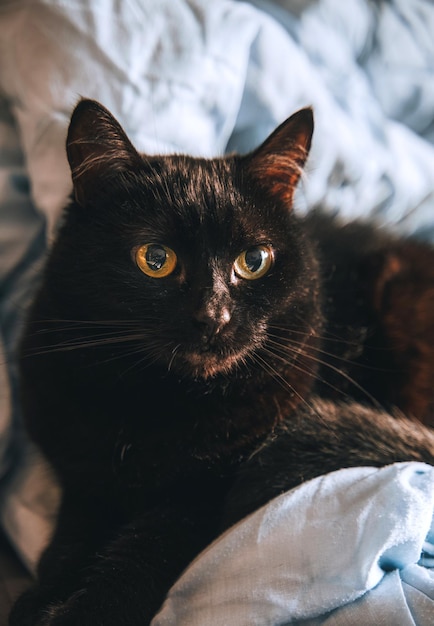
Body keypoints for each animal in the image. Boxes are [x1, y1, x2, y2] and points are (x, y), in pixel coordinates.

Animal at [9, 98, 434, 624]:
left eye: (254, 260)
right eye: (155, 258)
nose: (214, 316)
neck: (156, 401)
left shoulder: (204, 496)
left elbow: (137, 559)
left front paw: (83, 612)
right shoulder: (84, 478)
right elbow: (68, 544)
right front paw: (38, 599)